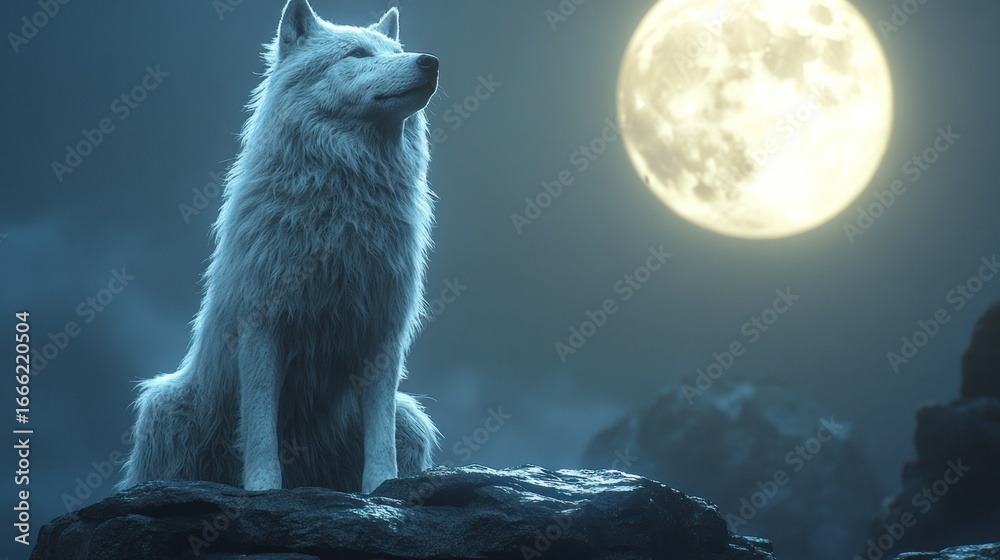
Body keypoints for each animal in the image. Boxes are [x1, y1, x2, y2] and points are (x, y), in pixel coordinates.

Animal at [115, 0, 440, 494]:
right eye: (357, 54)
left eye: (396, 51)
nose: (430, 61)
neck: (342, 206)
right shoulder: (262, 327)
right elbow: (259, 427)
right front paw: (263, 490)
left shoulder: (381, 336)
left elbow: (379, 437)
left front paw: (382, 489)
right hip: (163, 408)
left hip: (412, 420)